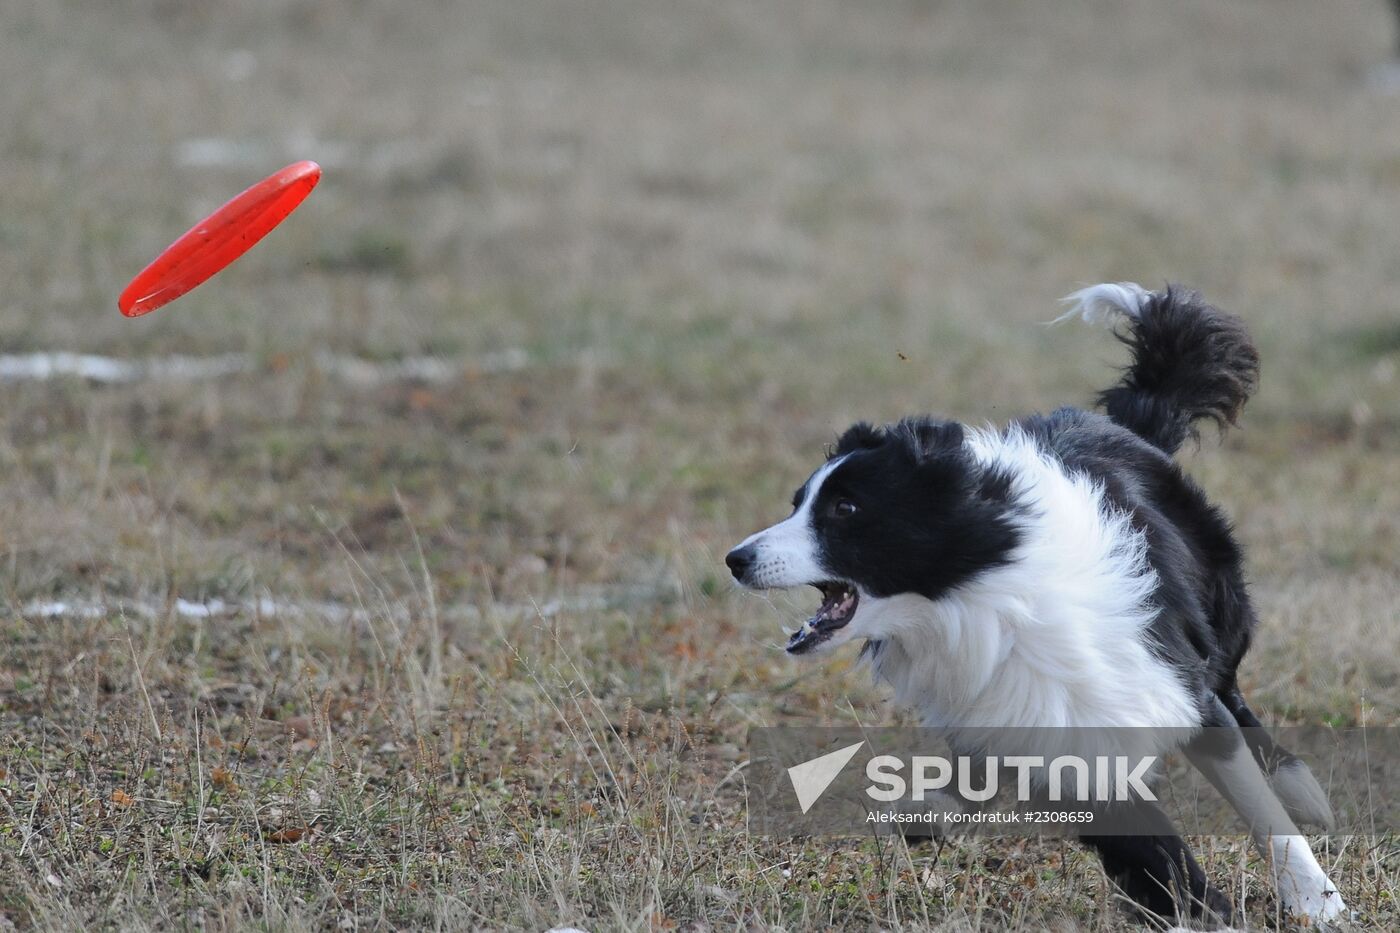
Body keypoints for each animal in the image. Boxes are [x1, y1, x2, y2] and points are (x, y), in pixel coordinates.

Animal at [728, 282, 1349, 924]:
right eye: (798, 502)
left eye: (844, 508)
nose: (736, 559)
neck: (981, 599)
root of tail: (1126, 427)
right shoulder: (1053, 732)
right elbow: (1150, 850)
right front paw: (1200, 912)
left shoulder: (1165, 682)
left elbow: (1256, 803)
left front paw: (1315, 900)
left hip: (1217, 607)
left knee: (1233, 690)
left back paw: (1301, 788)